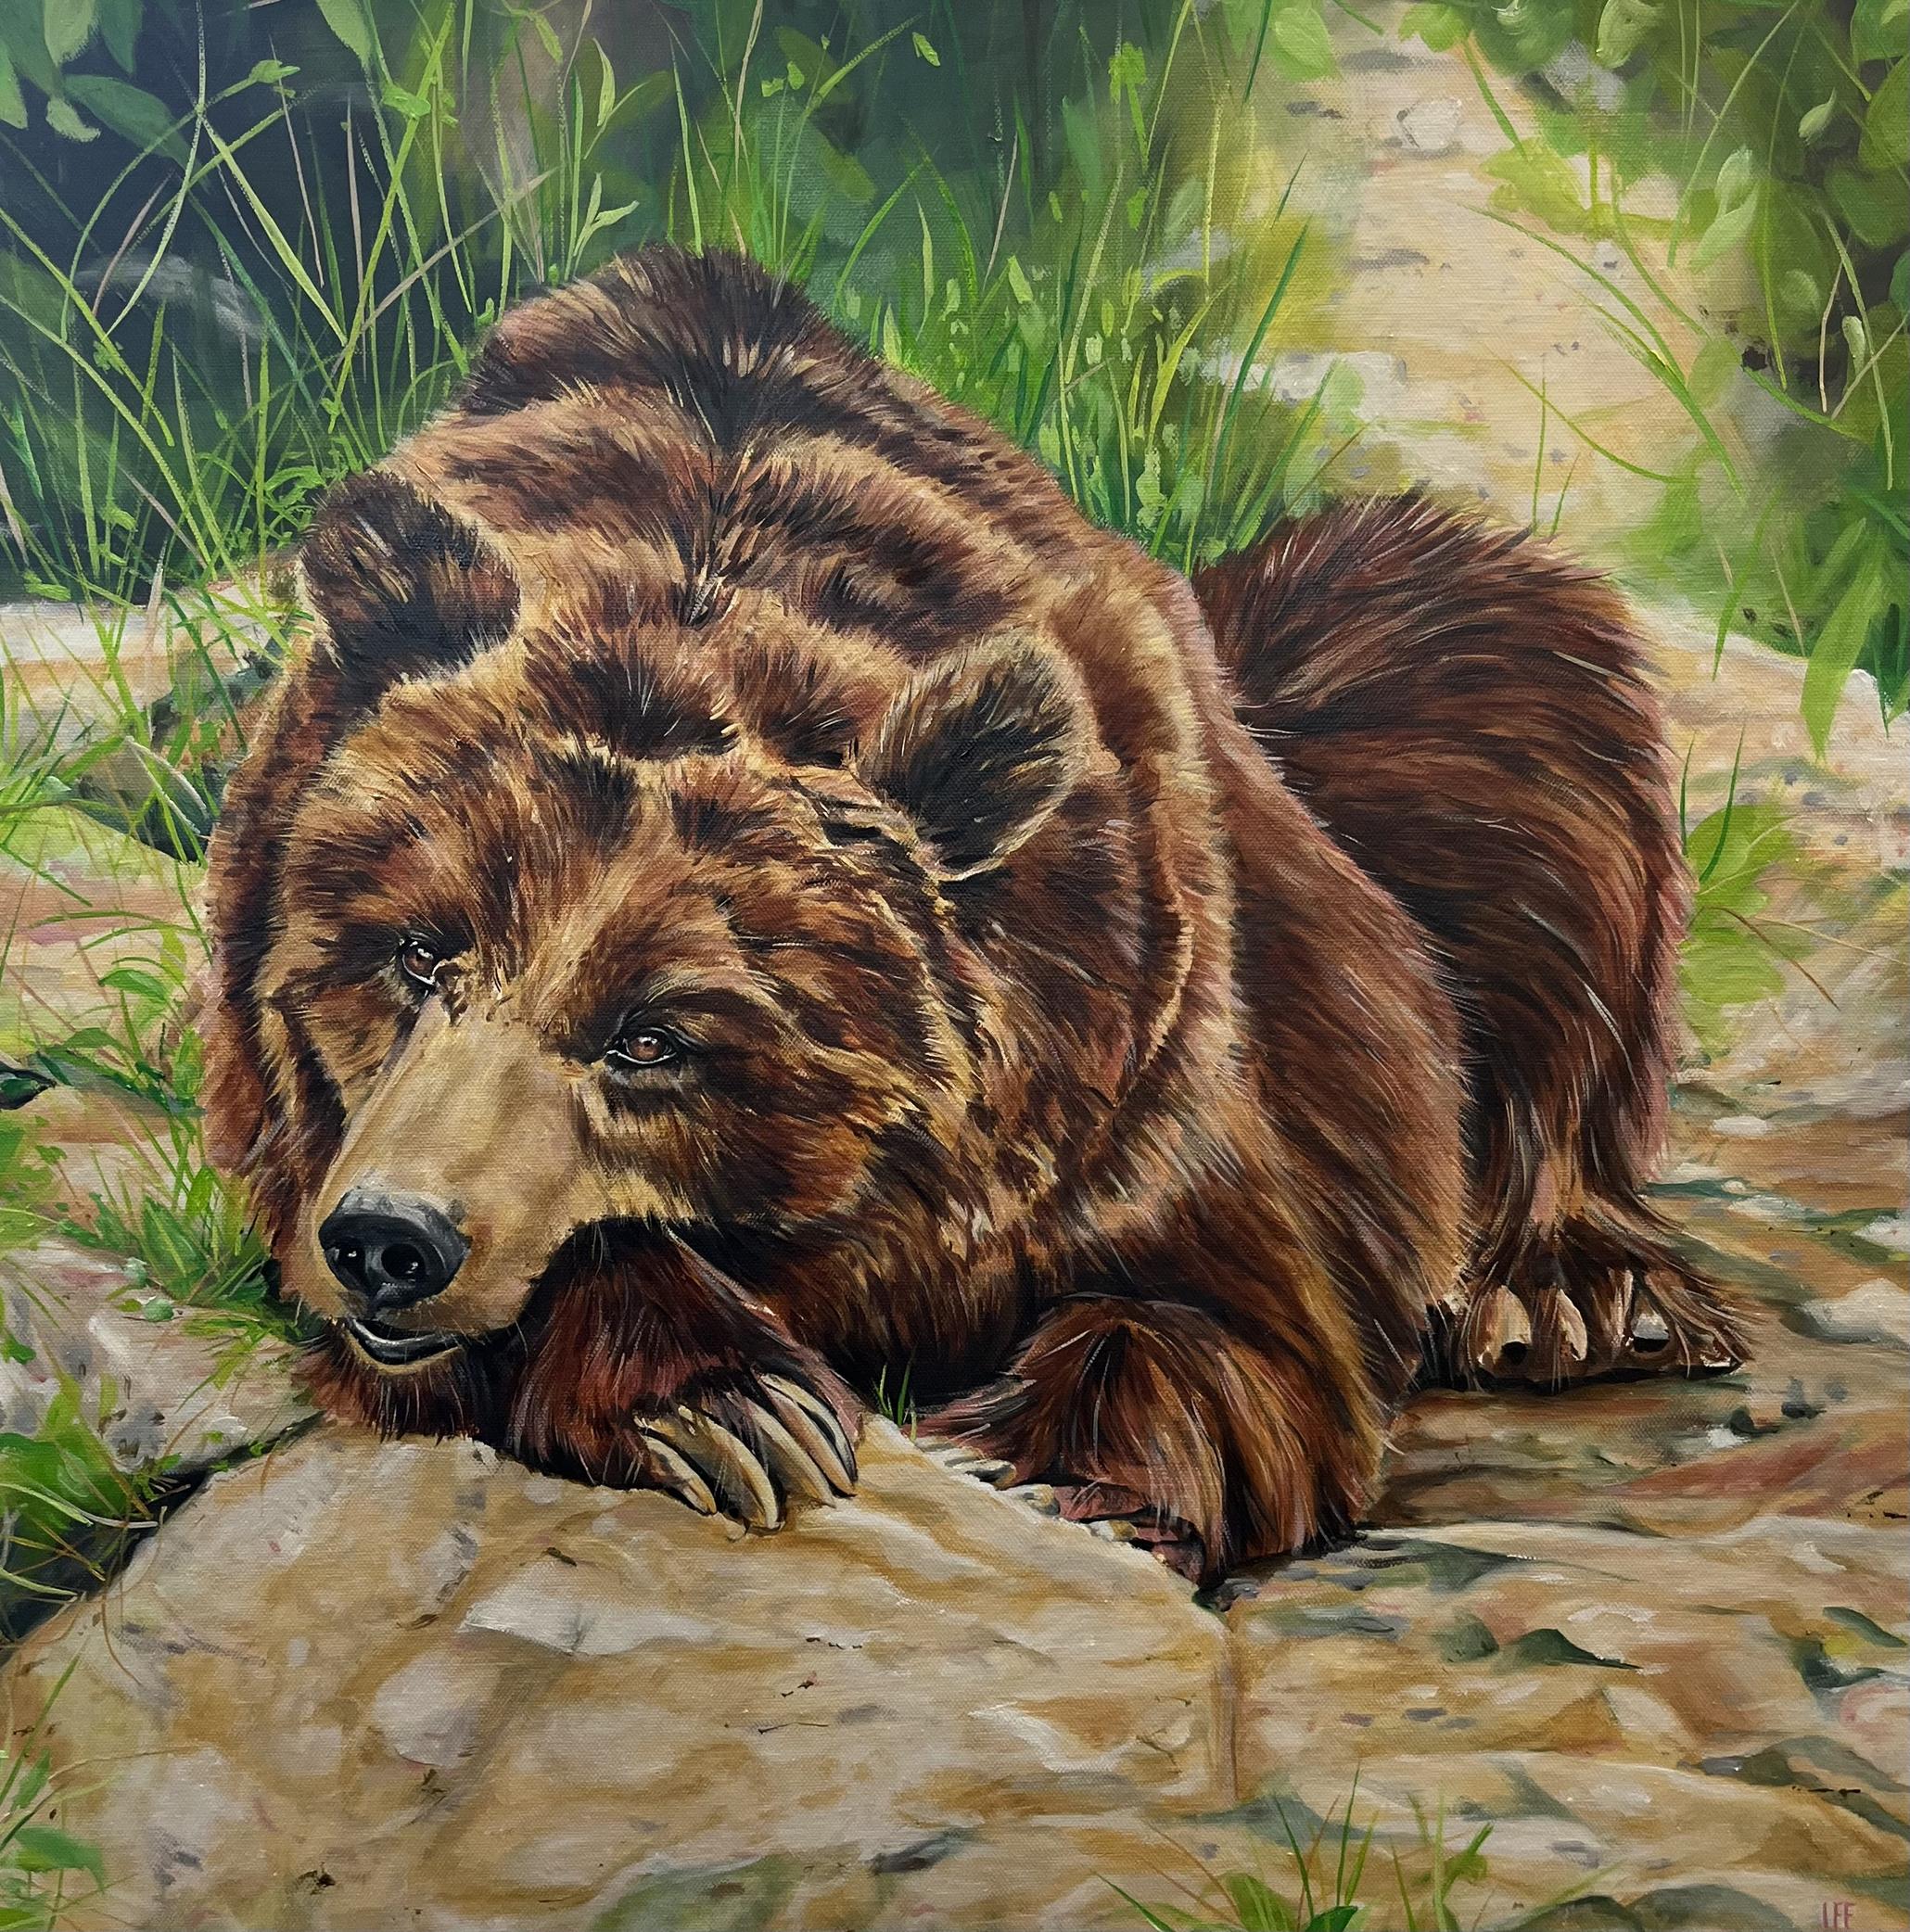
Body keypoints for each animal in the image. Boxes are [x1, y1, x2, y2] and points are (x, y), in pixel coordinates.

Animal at [201, 245, 1745, 1583]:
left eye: (656, 1036)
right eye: (416, 952)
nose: (393, 1241)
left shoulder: (1148, 1050)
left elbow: (1238, 1308)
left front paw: (1052, 1467)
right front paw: (723, 1405)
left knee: (1493, 674)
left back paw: (1575, 1292)